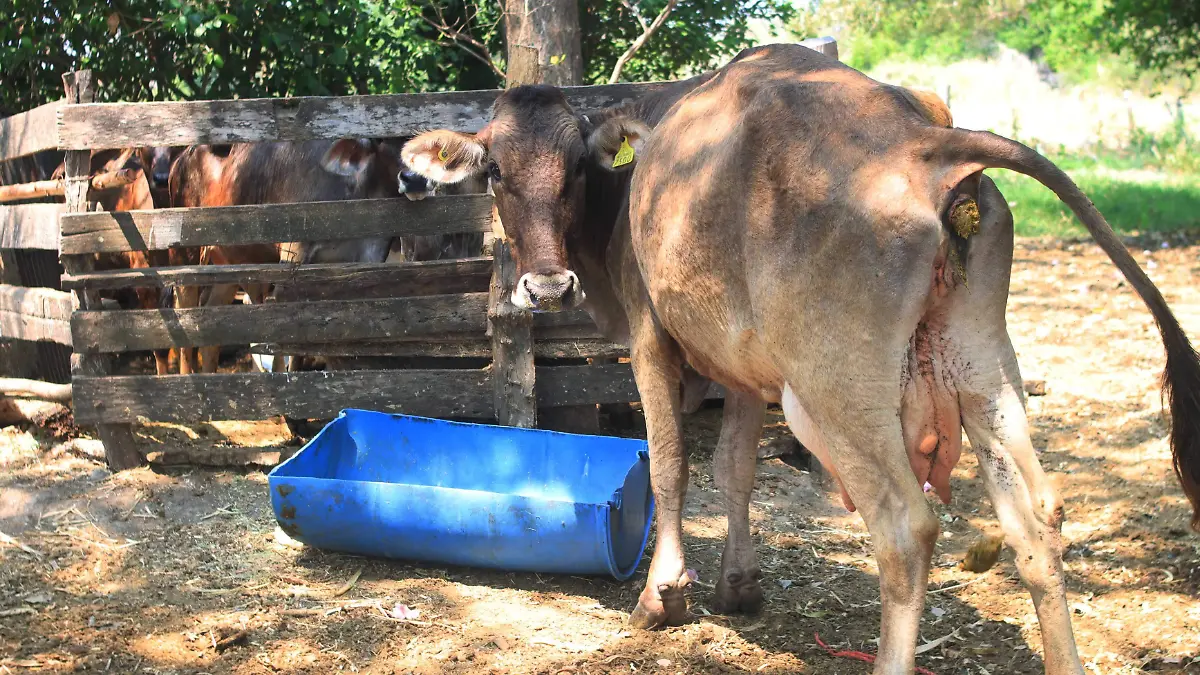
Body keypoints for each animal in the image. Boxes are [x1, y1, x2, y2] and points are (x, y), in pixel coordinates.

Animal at [399, 44, 1200, 675]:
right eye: (497, 172)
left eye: (571, 170)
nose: (546, 285)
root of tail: (919, 140)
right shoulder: (741, 366)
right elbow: (736, 467)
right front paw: (739, 585)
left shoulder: (653, 338)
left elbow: (670, 463)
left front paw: (664, 594)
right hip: (979, 360)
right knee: (1036, 517)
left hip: (837, 385)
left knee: (905, 529)